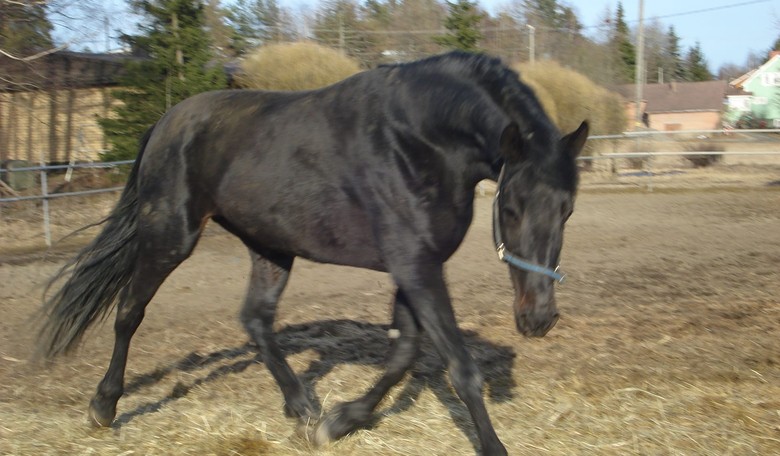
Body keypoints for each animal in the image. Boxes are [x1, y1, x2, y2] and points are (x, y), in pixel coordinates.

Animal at [37, 51, 588, 455]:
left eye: (567, 209)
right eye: (512, 208)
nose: (538, 318)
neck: (419, 141)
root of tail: (166, 123)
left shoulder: (414, 267)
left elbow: (403, 354)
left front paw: (339, 422)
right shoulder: (416, 266)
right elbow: (460, 367)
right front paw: (493, 446)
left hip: (270, 247)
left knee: (256, 320)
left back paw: (303, 408)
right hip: (170, 235)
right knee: (130, 311)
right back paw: (104, 407)